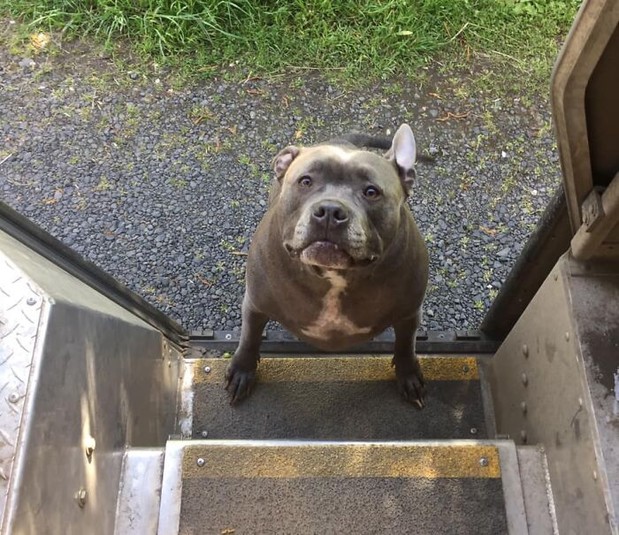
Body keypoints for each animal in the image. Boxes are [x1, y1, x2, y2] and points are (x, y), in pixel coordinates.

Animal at [225, 124, 429, 407]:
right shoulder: (255, 305)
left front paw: (408, 373)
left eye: (371, 192)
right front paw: (242, 369)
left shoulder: (409, 313)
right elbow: (249, 337)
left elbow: (405, 344)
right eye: (306, 181)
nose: (331, 210)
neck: (334, 276)